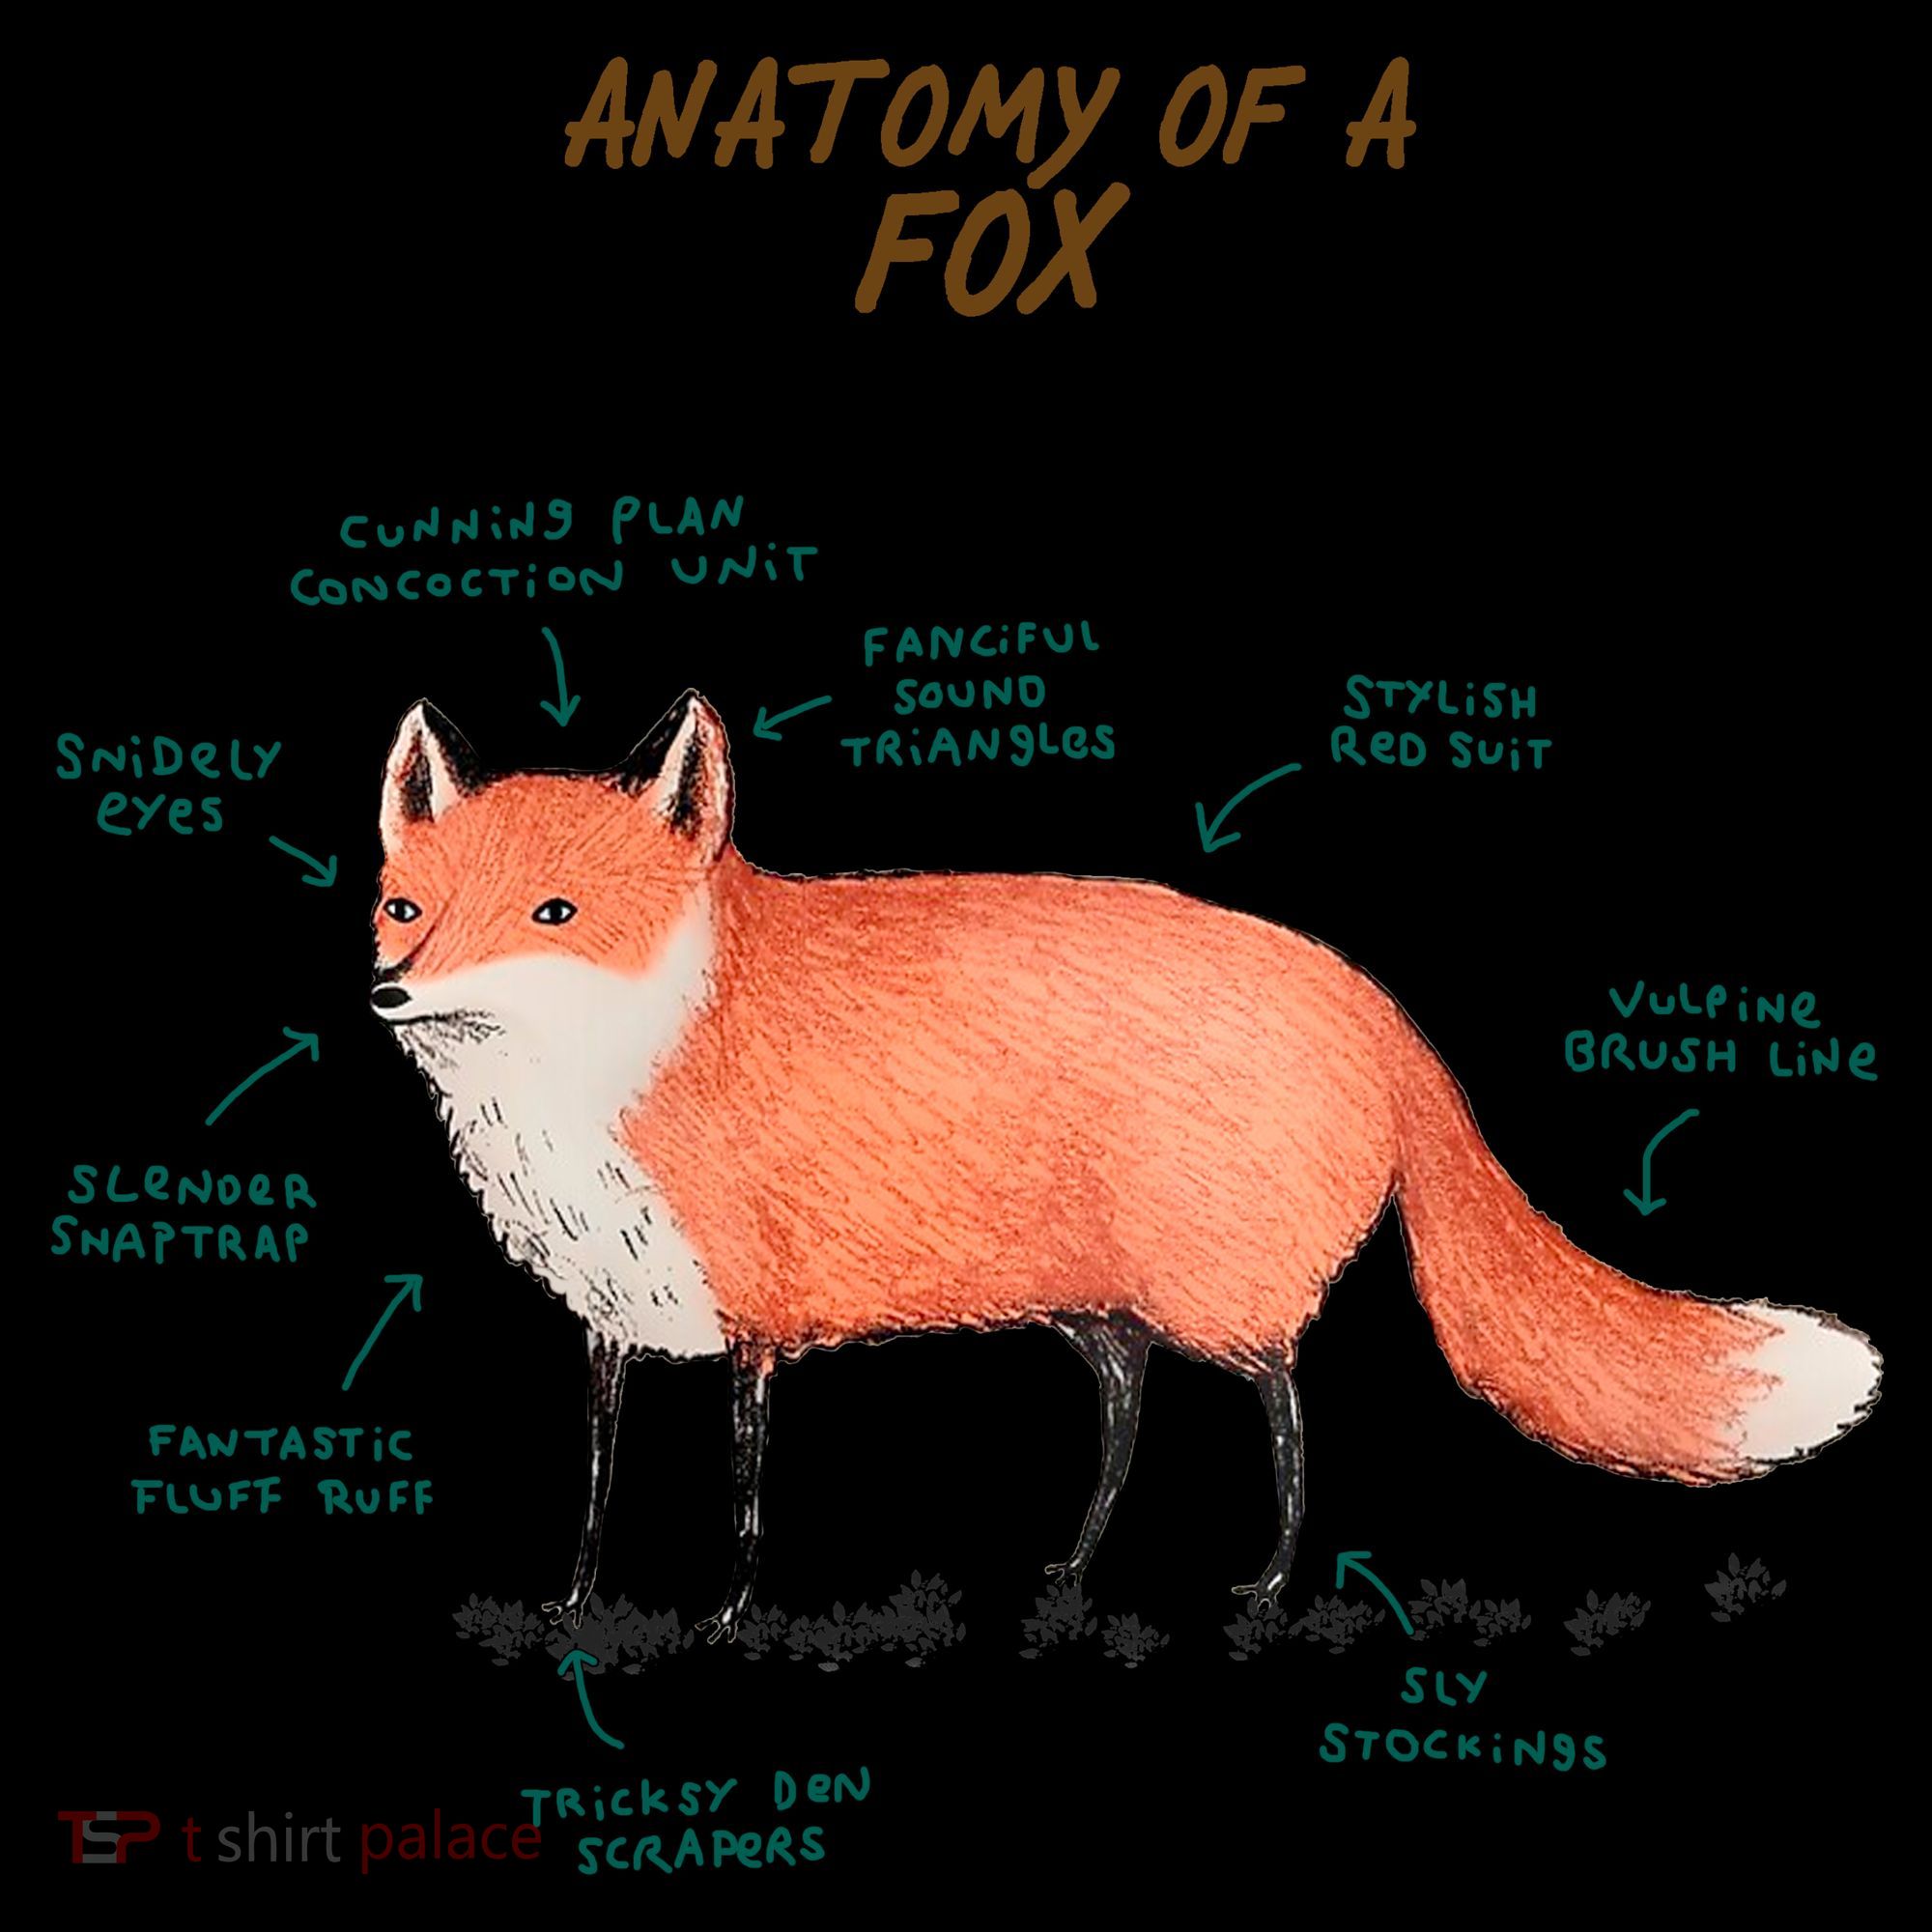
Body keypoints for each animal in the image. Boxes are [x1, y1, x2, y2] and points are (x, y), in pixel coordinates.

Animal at [371, 690, 1881, 1640]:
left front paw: (733, 1614)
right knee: (1126, 1418)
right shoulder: (611, 1315)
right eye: (405, 907)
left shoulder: (755, 1318)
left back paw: (1268, 1581)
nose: (390, 990)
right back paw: (1073, 1571)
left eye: (555, 913)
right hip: (1103, 1311)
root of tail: (1373, 1001)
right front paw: (579, 1604)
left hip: (1218, 1299)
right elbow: (597, 1478)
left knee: (1285, 1407)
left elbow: (742, 1489)